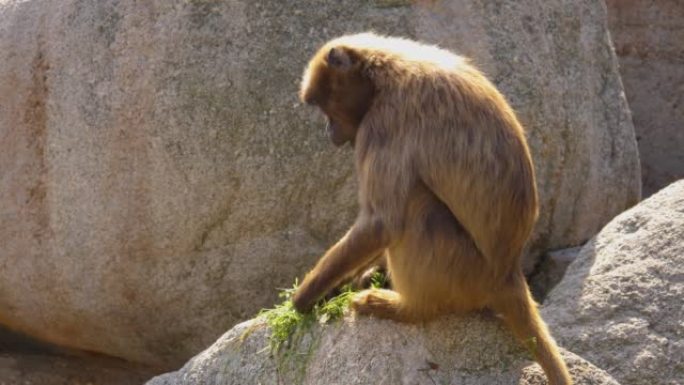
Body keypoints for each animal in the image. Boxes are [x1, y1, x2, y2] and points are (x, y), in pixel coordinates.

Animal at [292, 33, 572, 384]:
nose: (328, 131)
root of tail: (507, 272)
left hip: (462, 271)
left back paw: (409, 309)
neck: (384, 74)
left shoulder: (384, 123)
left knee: (416, 204)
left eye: (324, 106)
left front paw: (301, 300)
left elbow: (381, 223)